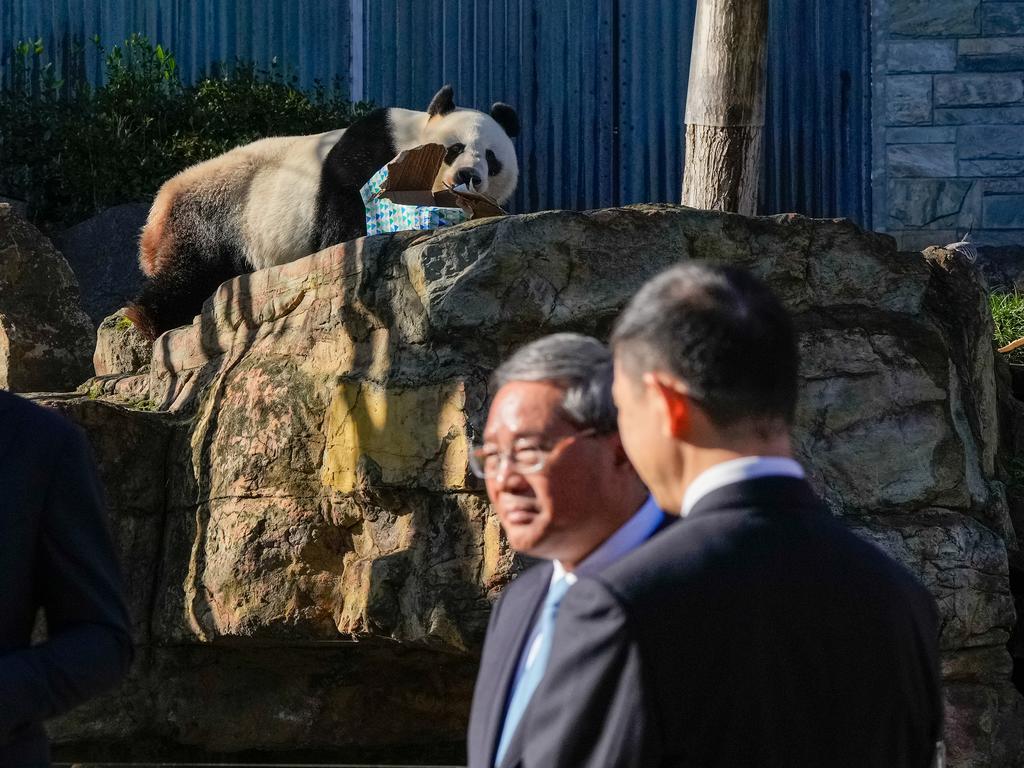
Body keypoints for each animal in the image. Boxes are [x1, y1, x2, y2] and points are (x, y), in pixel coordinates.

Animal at [124, 83, 520, 339]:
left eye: (492, 159)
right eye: (454, 149)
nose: (469, 176)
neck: (410, 141)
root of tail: (158, 210)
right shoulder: (370, 150)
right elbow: (344, 209)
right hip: (215, 211)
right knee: (191, 270)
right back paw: (149, 319)